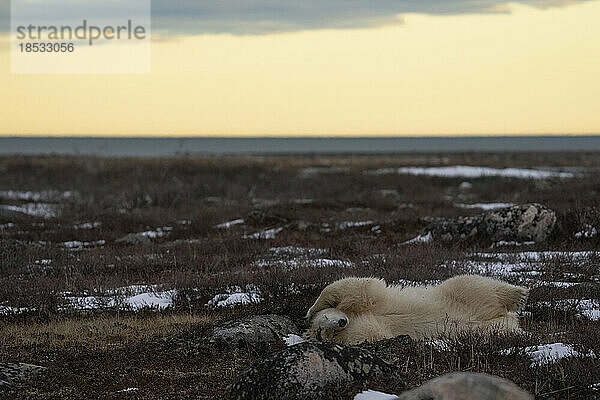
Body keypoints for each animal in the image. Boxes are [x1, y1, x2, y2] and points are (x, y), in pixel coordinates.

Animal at [308, 276, 528, 344]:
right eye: (327, 330)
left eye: (327, 317)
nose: (341, 322)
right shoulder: (364, 328)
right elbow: (372, 333)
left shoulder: (373, 301)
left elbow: (356, 288)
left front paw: (312, 308)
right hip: (487, 329)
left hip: (453, 295)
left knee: (472, 285)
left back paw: (519, 295)